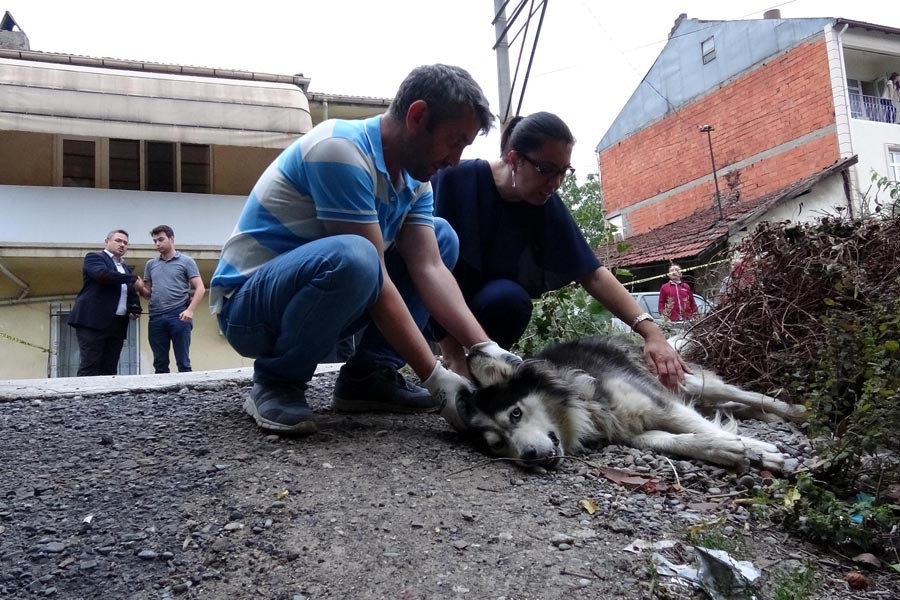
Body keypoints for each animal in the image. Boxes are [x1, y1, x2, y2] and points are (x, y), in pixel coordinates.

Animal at [458, 336, 800, 472]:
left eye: (516, 414)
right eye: (498, 445)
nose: (529, 457)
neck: (583, 403)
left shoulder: (660, 404)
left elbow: (700, 427)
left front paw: (760, 452)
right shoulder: (629, 432)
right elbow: (678, 441)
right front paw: (725, 449)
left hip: (682, 380)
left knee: (747, 395)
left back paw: (794, 412)